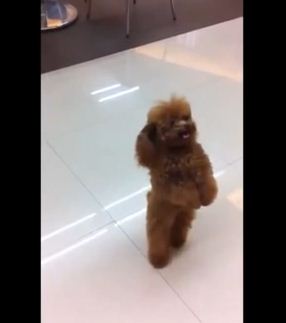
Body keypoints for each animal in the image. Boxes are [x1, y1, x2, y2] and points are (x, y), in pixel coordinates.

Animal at [135, 96, 218, 268]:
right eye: (172, 122)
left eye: (186, 117)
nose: (186, 125)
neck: (178, 151)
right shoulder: (172, 183)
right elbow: (185, 190)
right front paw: (195, 200)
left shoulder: (202, 168)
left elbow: (207, 184)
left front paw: (207, 200)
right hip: (158, 218)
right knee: (157, 236)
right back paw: (159, 259)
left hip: (183, 215)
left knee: (179, 228)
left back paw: (177, 241)